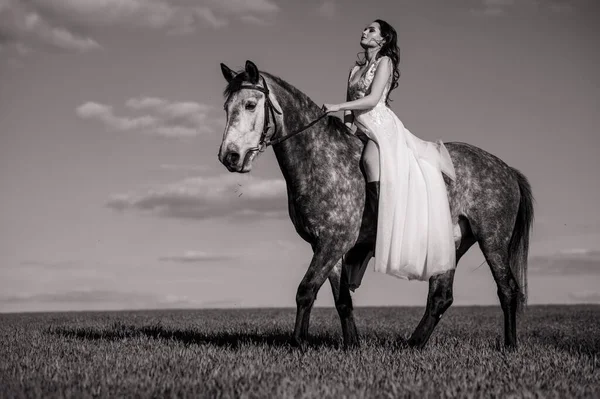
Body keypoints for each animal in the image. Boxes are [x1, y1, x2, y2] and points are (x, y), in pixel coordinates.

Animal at [217, 61, 536, 352]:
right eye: (226, 108)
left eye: (250, 104)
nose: (229, 156)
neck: (321, 157)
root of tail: (505, 168)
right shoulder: (327, 245)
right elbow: (342, 299)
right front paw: (352, 344)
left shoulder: (333, 242)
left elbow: (305, 290)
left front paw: (298, 344)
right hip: (451, 242)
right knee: (441, 297)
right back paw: (413, 345)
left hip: (492, 238)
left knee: (507, 289)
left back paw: (509, 346)